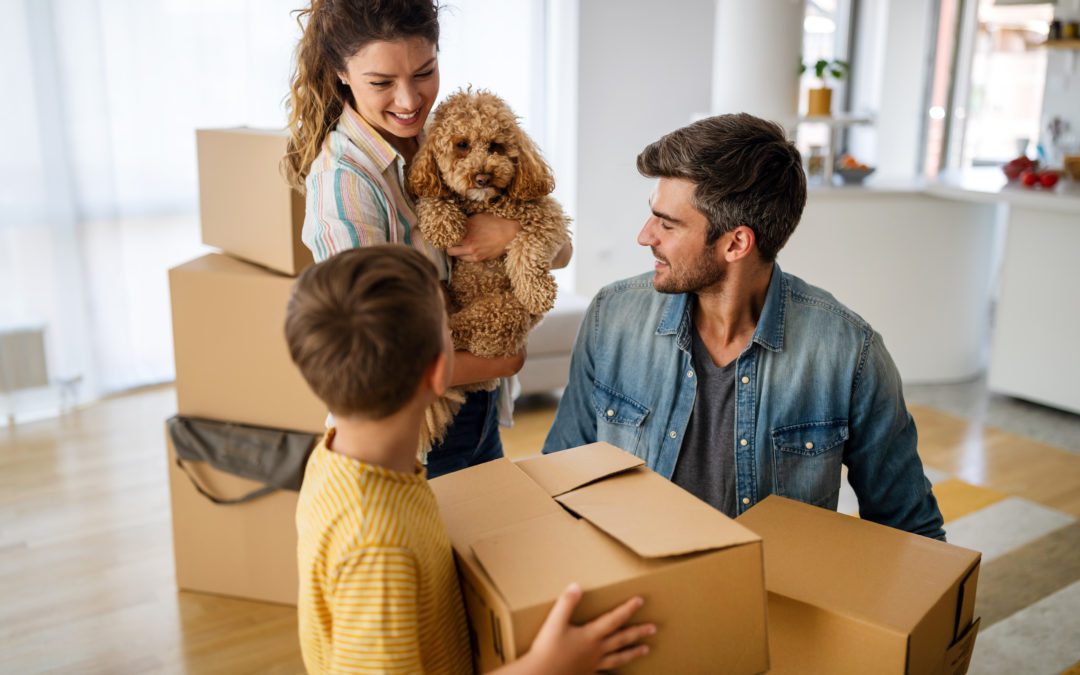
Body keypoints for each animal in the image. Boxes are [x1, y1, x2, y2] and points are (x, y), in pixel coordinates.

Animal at [406, 88, 574, 447]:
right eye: (462, 144)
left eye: (496, 145)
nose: (483, 176)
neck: (485, 203)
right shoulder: (430, 184)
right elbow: (432, 198)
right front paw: (444, 224)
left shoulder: (547, 217)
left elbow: (527, 248)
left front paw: (538, 291)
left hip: (504, 312)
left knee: (466, 331)